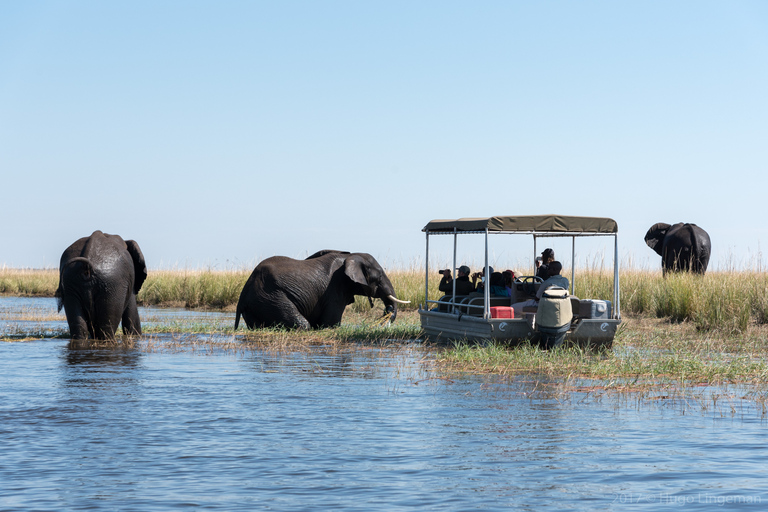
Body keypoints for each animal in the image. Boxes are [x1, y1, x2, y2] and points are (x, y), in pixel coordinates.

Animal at [236, 250, 408, 330]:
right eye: (379, 277)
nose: (388, 311)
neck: (352, 256)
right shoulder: (335, 289)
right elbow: (331, 323)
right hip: (270, 296)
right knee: (302, 324)